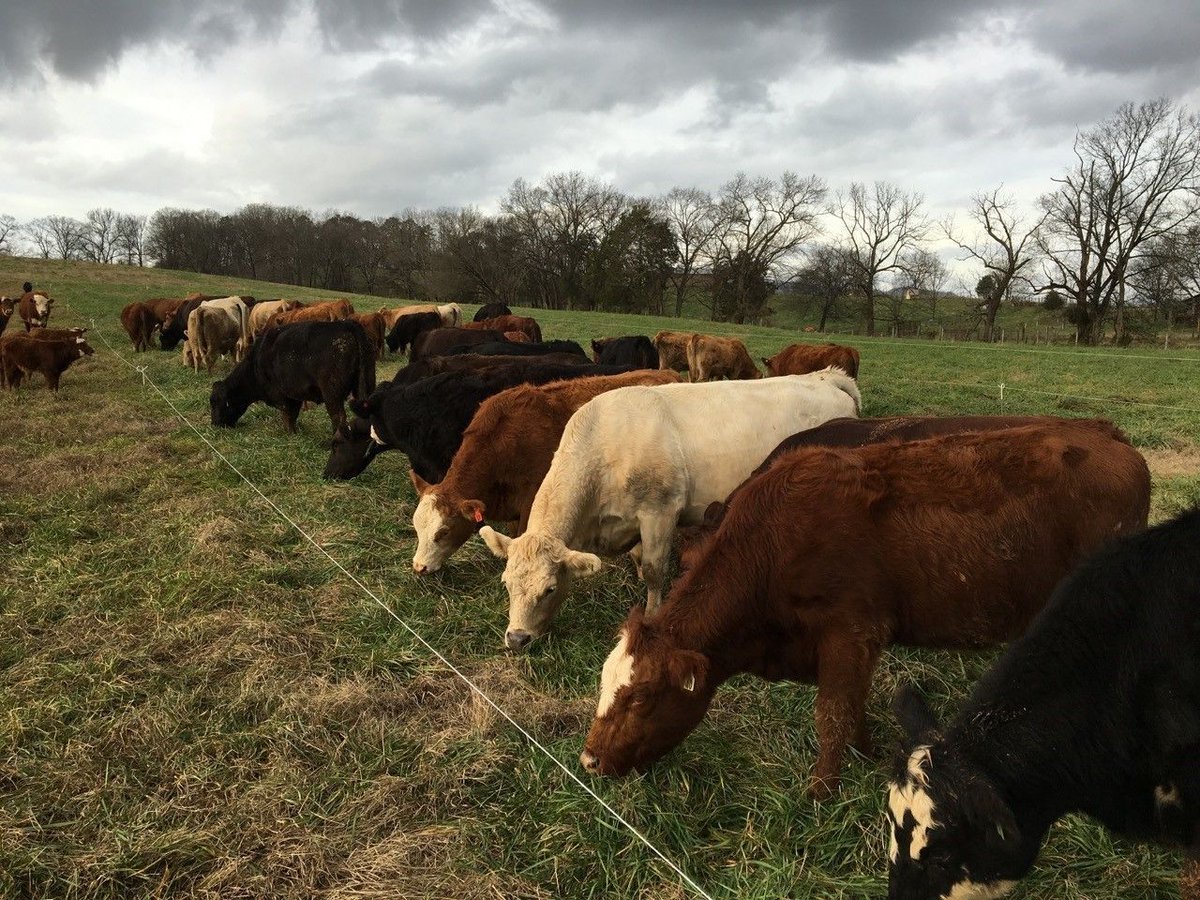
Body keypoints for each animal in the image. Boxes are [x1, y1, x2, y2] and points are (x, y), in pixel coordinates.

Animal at [210, 320, 375, 434]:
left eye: (215, 402)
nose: (214, 424)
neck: (254, 364)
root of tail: (345, 324)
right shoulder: (294, 396)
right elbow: (293, 415)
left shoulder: (279, 396)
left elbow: (287, 416)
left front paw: (289, 434)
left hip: (332, 394)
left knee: (338, 418)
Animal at [478, 370, 863, 651]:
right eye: (506, 583)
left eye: (550, 589)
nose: (517, 638)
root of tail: (825, 377)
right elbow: (638, 559)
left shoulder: (659, 512)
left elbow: (653, 570)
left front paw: (651, 612)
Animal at [578, 420, 1151, 798]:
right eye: (606, 686)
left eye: (641, 697)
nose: (588, 759)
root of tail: (1109, 437)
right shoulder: (856, 644)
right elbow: (852, 708)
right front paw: (867, 757)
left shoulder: (850, 631)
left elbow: (832, 713)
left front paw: (820, 795)